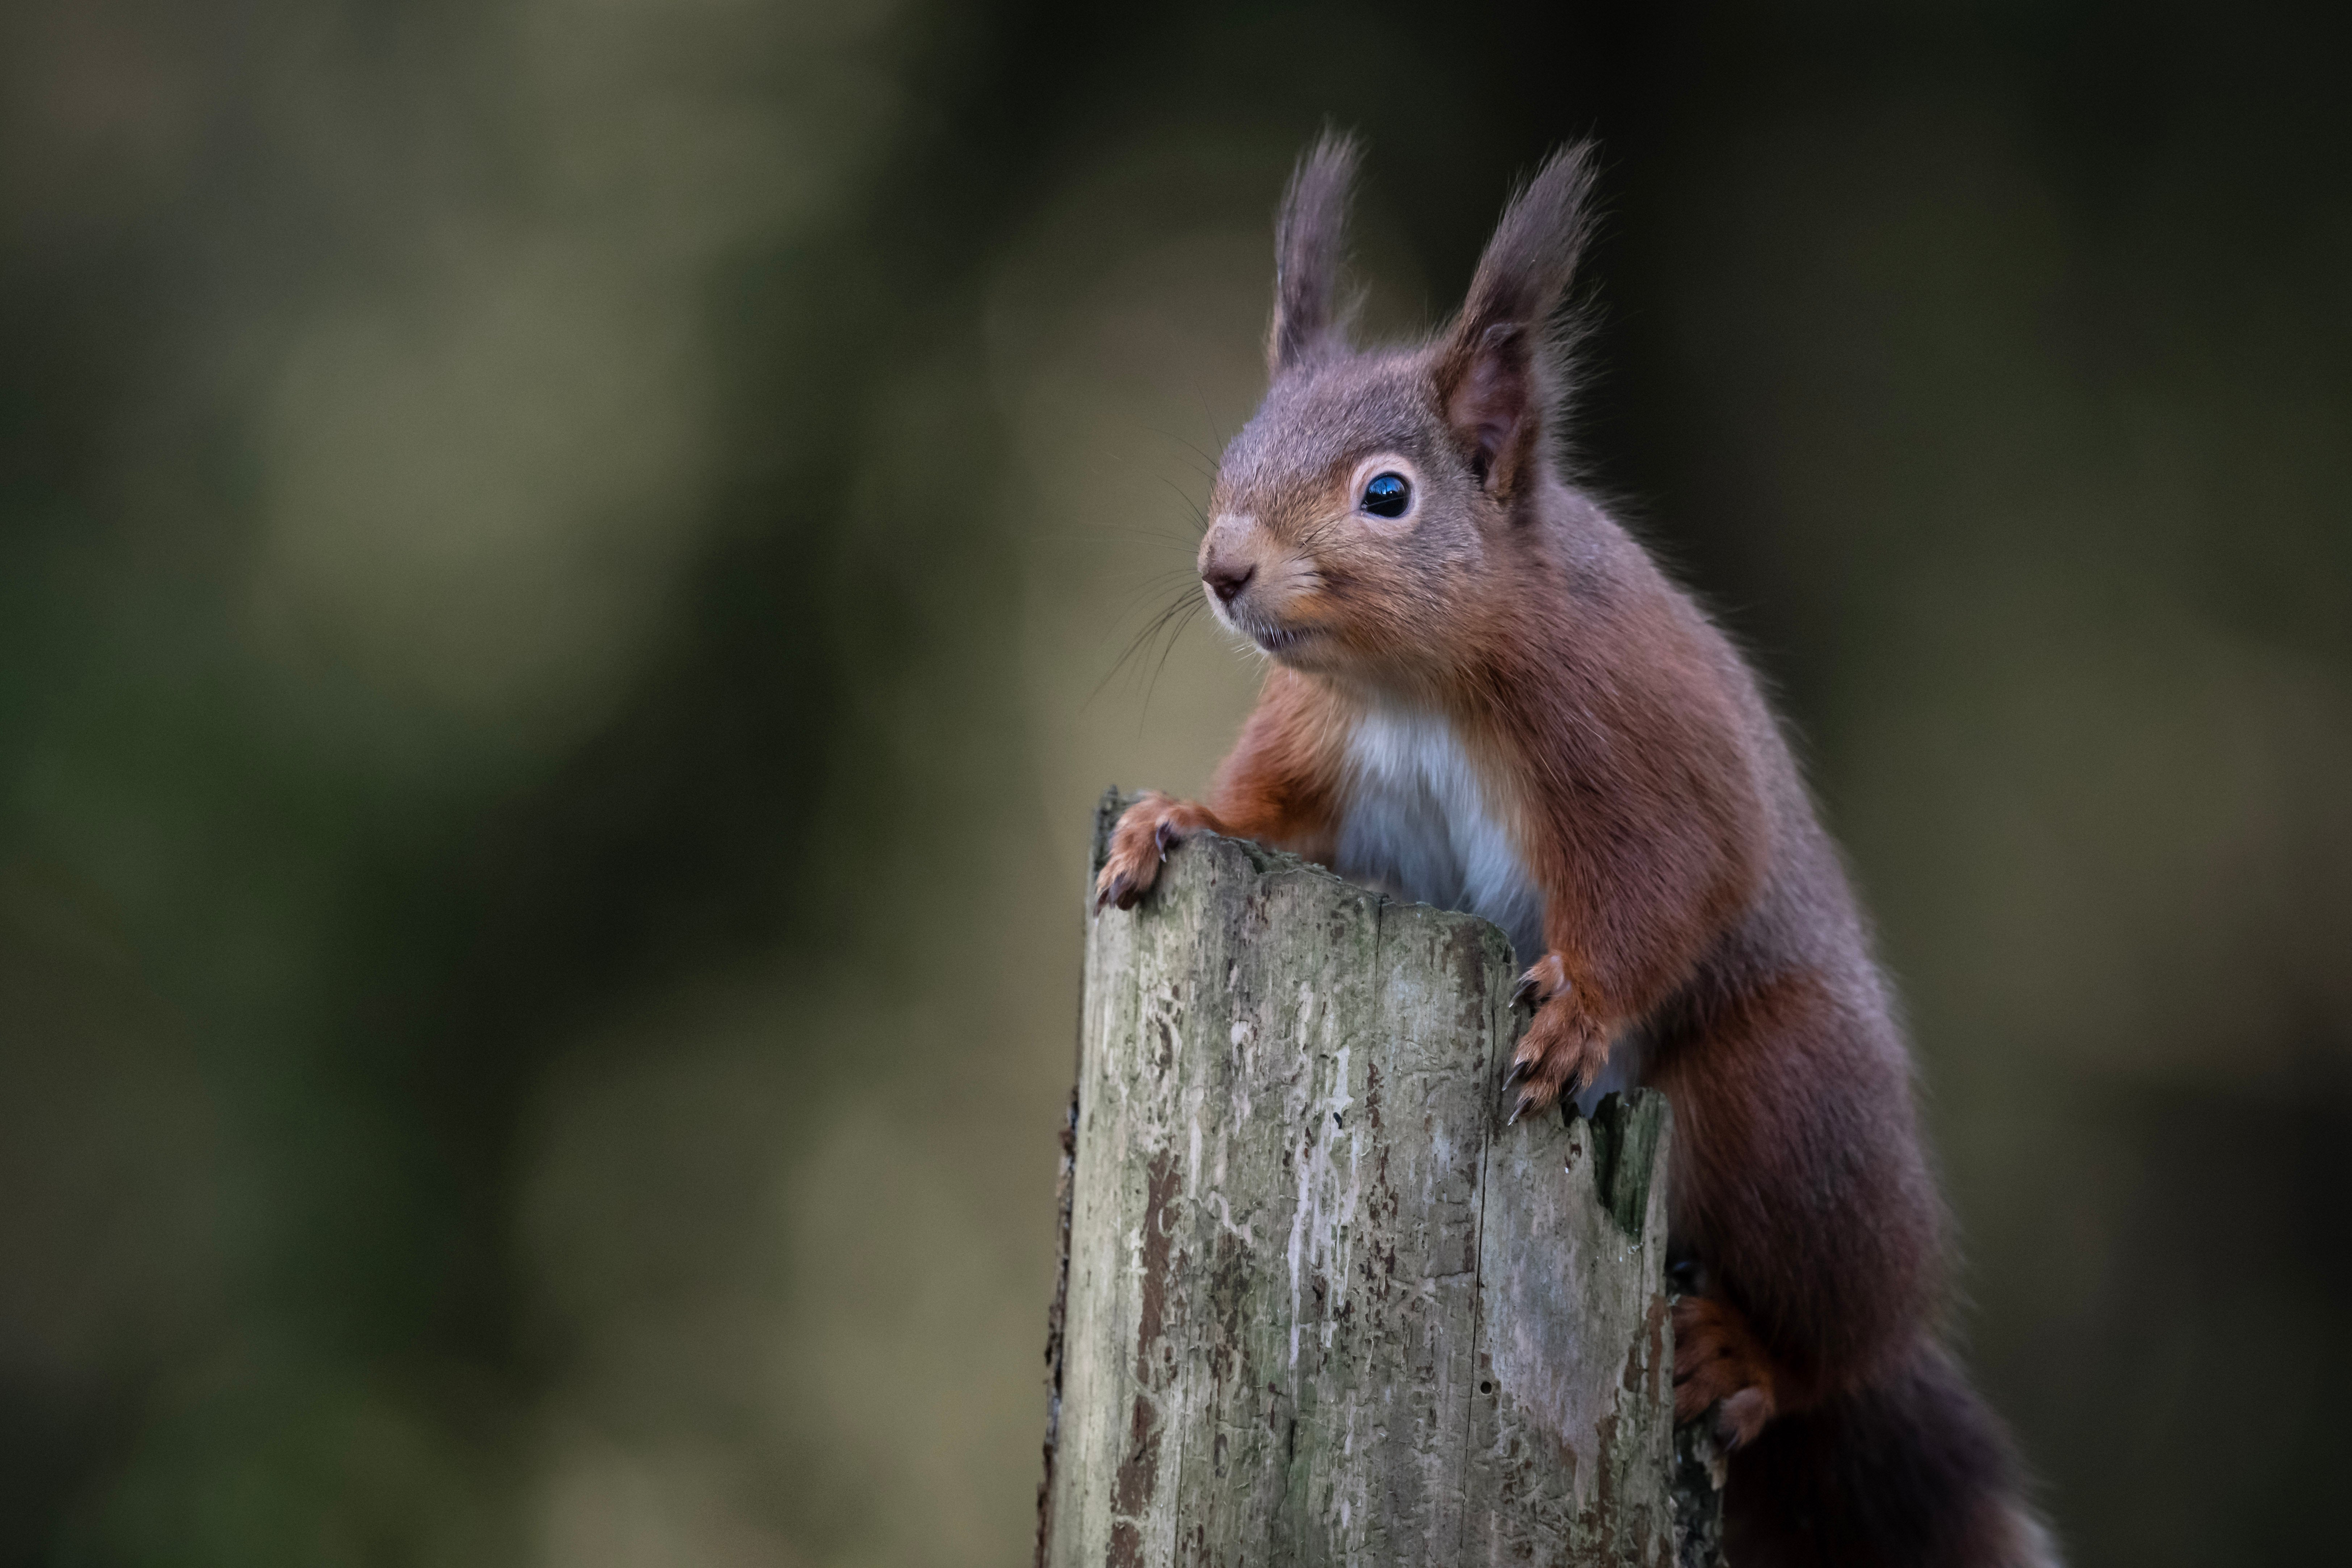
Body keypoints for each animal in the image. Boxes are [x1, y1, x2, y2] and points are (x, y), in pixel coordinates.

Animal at [1092, 136, 2059, 1568]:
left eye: (1388, 494)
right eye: (1233, 454)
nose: (1223, 567)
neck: (1411, 688)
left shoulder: (1630, 739)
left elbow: (1673, 876)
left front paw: (1578, 1014)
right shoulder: (1321, 750)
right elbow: (1268, 814)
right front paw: (1171, 819)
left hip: (1788, 1107)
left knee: (1828, 1332)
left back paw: (1749, 1353)